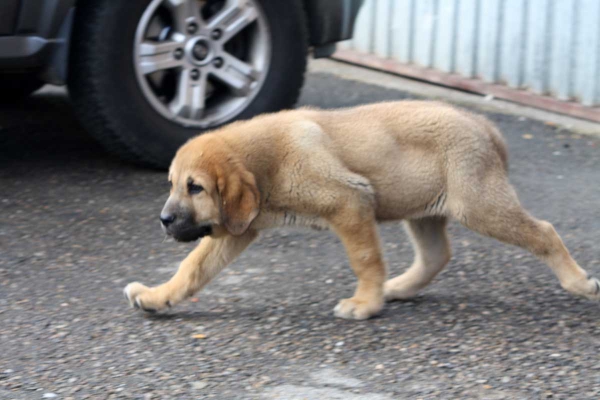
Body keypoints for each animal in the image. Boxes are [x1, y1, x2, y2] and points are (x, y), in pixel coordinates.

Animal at [124, 101, 596, 320]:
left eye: (196, 187)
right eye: (171, 185)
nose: (164, 220)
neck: (268, 161)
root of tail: (483, 124)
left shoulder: (350, 202)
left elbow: (365, 258)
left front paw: (365, 304)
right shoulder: (239, 229)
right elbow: (192, 269)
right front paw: (158, 296)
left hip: (480, 205)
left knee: (543, 231)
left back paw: (578, 282)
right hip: (422, 211)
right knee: (436, 255)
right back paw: (398, 288)